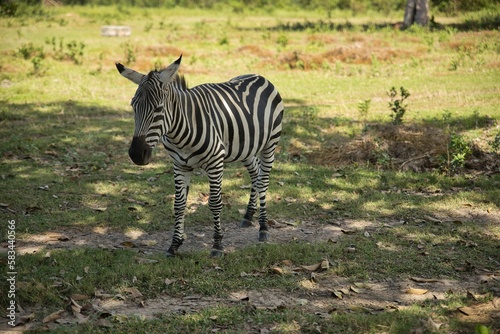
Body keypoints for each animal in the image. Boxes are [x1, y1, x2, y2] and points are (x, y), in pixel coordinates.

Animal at [114, 56, 284, 258]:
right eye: (133, 106)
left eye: (158, 109)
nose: (136, 154)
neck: (181, 133)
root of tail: (258, 76)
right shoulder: (179, 165)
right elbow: (179, 204)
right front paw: (174, 245)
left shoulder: (216, 163)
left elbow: (215, 203)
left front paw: (217, 245)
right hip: (245, 148)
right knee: (255, 174)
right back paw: (249, 215)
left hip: (269, 144)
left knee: (263, 181)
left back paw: (263, 227)